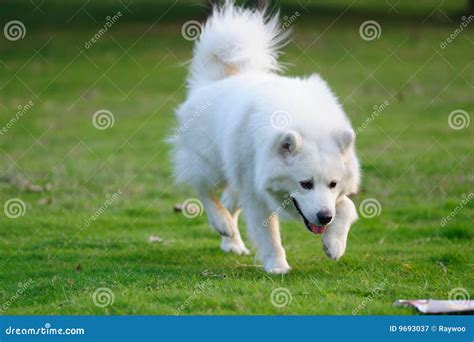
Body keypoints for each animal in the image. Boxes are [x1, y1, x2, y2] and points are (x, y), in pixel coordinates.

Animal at [170, 0, 360, 272]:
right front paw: (277, 266)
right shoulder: (256, 193)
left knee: (229, 202)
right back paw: (222, 223)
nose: (325, 217)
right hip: (212, 167)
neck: (304, 120)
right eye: (305, 183)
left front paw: (334, 243)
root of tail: (214, 81)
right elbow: (269, 234)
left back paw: (232, 242)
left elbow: (348, 207)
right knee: (204, 190)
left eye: (333, 184)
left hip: (234, 177)